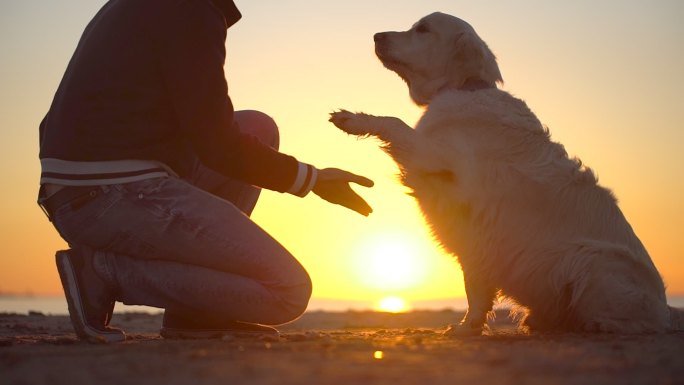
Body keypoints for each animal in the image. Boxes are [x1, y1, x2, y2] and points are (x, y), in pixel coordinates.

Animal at [330, 12, 680, 332]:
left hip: (591, 259)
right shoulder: (472, 233)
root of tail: (664, 308)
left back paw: (592, 324)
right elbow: (475, 287)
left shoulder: (436, 159)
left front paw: (353, 119)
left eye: (423, 29)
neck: (467, 88)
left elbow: (394, 122)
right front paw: (468, 326)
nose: (377, 36)